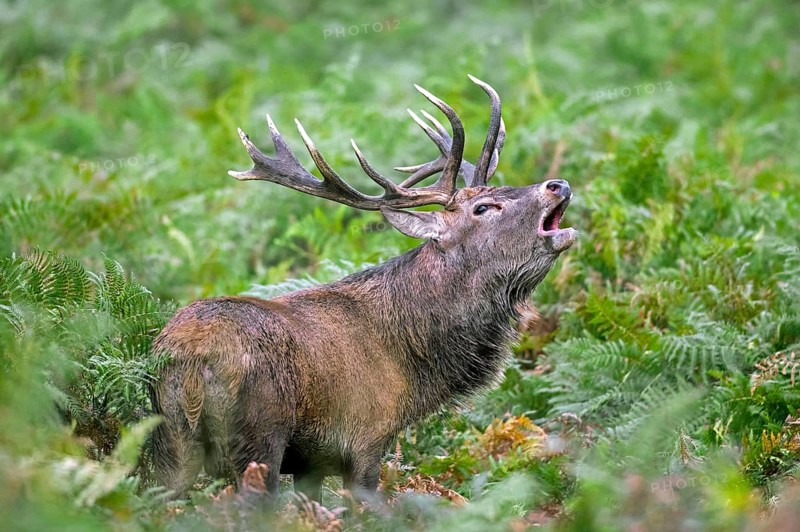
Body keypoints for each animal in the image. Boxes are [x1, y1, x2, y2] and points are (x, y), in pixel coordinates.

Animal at [150, 75, 577, 501]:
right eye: (484, 208)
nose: (558, 184)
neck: (415, 365)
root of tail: (190, 361)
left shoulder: (311, 462)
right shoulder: (365, 437)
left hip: (169, 446)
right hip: (260, 435)